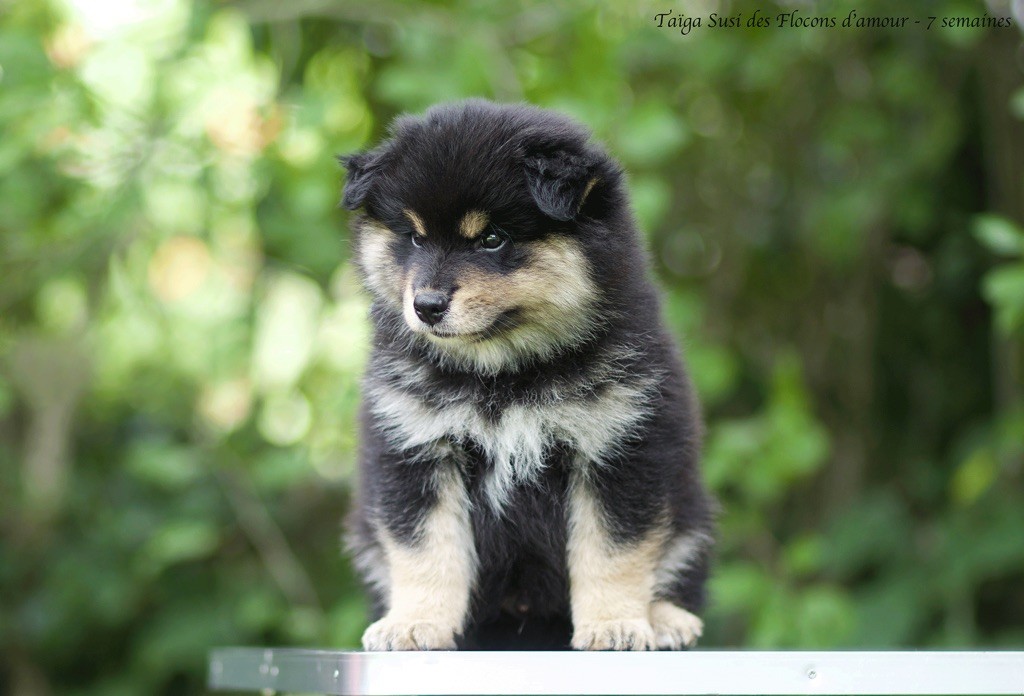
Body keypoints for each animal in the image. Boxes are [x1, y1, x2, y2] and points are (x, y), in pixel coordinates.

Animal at [341, 100, 715, 651]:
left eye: (493, 239)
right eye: (414, 237)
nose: (426, 305)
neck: (505, 375)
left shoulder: (619, 450)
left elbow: (613, 551)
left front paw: (615, 624)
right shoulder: (417, 448)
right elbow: (426, 550)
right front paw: (414, 623)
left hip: (691, 518)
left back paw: (666, 619)